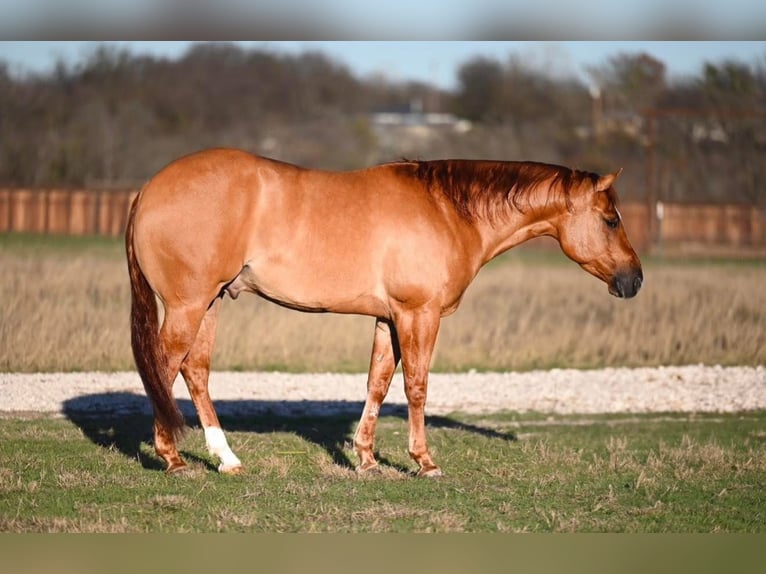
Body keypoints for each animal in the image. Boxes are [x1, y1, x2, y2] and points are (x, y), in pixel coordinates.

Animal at [126, 147, 640, 476]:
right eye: (610, 219)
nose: (634, 279)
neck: (447, 210)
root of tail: (147, 190)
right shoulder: (419, 315)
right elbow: (416, 386)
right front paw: (424, 462)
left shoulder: (389, 319)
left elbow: (377, 383)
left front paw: (367, 459)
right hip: (189, 305)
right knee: (165, 367)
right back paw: (172, 458)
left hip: (210, 302)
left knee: (195, 371)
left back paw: (226, 459)